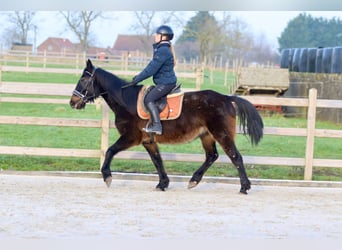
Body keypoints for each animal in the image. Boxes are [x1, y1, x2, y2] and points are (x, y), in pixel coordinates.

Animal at [69, 59, 262, 194]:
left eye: (84, 79)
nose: (73, 102)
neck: (126, 101)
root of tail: (226, 98)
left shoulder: (131, 137)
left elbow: (110, 151)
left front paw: (107, 176)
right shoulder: (148, 141)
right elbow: (157, 160)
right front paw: (163, 183)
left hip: (221, 134)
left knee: (235, 157)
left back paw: (244, 187)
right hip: (206, 135)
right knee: (211, 156)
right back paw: (194, 180)